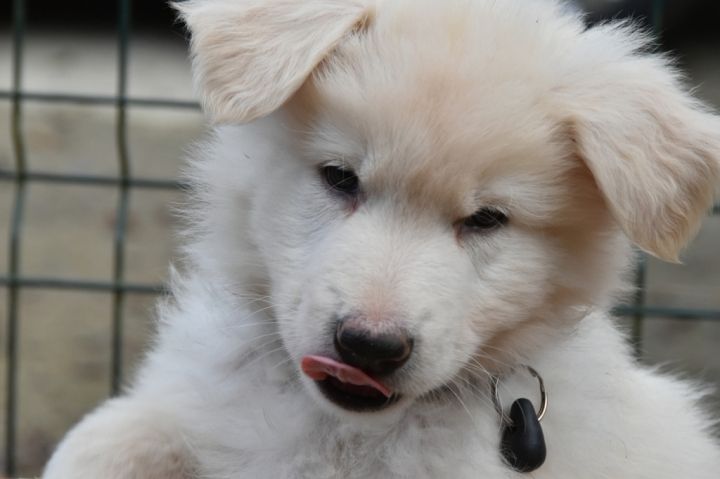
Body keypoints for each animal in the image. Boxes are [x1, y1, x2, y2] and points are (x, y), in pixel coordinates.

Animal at [44, 0, 720, 477]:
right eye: (340, 178)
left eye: (486, 219)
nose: (368, 347)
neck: (344, 431)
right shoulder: (193, 403)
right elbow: (113, 433)